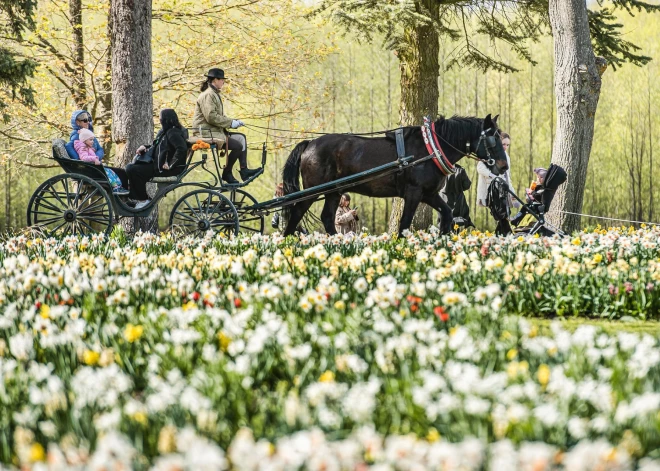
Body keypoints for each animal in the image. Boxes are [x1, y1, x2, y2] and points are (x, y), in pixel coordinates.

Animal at [282, 114, 508, 236]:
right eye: (492, 139)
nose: (503, 166)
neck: (430, 149)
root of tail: (309, 144)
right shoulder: (413, 193)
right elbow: (405, 222)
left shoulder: (429, 194)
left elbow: (447, 214)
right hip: (312, 191)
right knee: (296, 213)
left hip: (334, 192)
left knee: (327, 217)